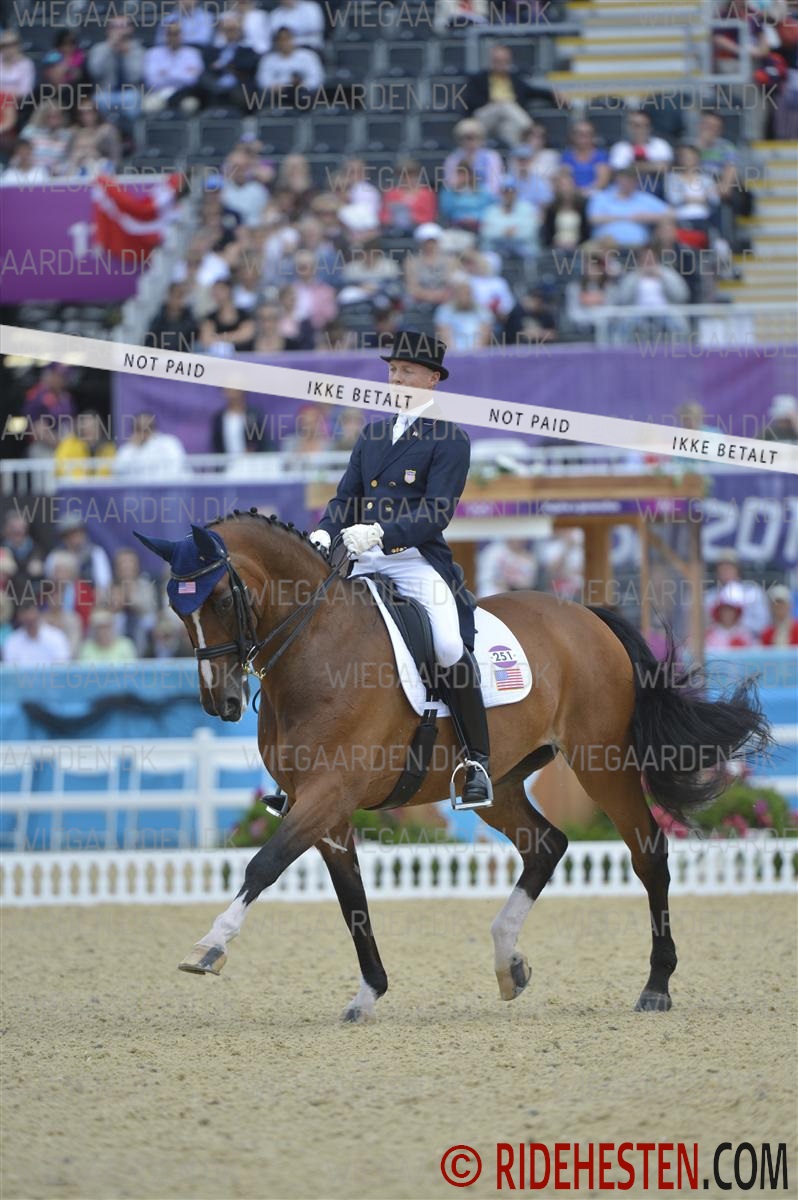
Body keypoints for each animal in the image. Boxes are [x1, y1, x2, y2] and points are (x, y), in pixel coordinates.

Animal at [136, 513, 771, 1022]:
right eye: (176, 608)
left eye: (221, 600)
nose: (221, 703)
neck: (317, 648)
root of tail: (585, 615)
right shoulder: (326, 810)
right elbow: (352, 900)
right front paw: (369, 992)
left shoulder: (329, 793)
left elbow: (263, 865)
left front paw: (209, 947)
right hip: (503, 780)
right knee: (547, 844)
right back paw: (507, 961)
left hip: (603, 763)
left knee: (648, 853)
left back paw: (656, 985)